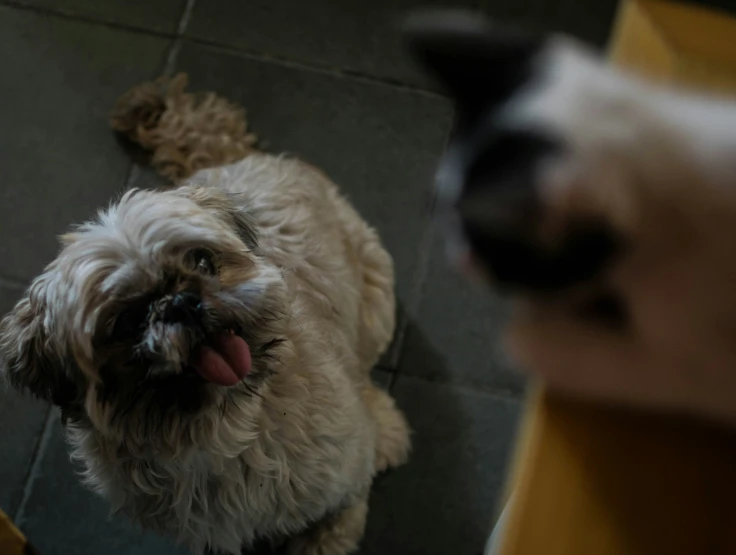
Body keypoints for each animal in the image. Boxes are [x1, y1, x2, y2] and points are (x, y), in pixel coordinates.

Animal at [0, 76, 412, 555]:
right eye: (126, 322)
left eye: (201, 261)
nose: (180, 302)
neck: (222, 432)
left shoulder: (341, 483)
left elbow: (333, 525)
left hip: (375, 301)